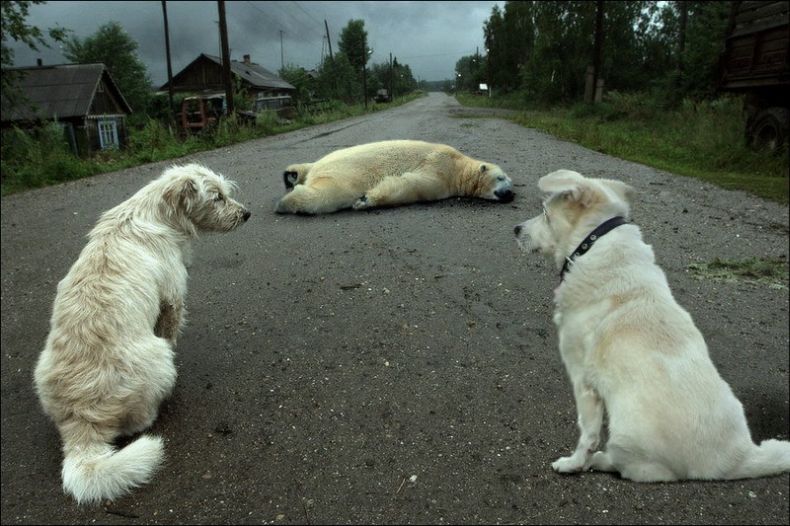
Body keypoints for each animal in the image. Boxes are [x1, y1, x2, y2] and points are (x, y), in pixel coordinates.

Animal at [33, 163, 251, 506]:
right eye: (217, 197)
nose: (246, 214)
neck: (154, 214)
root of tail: (81, 420)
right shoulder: (172, 299)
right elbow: (170, 331)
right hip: (158, 360)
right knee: (142, 418)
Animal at [276, 141, 516, 216]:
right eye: (501, 178)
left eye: (511, 182)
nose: (511, 194)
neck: (461, 167)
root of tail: (316, 167)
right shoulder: (440, 168)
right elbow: (414, 185)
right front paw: (365, 200)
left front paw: (365, 200)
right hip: (341, 175)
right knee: (329, 194)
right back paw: (286, 202)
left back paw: (292, 176)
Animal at [512, 171, 790, 484]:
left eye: (545, 213)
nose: (515, 229)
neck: (593, 244)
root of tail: (737, 459)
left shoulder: (583, 380)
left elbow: (587, 433)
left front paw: (574, 463)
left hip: (626, 433)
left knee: (637, 468)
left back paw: (599, 460)